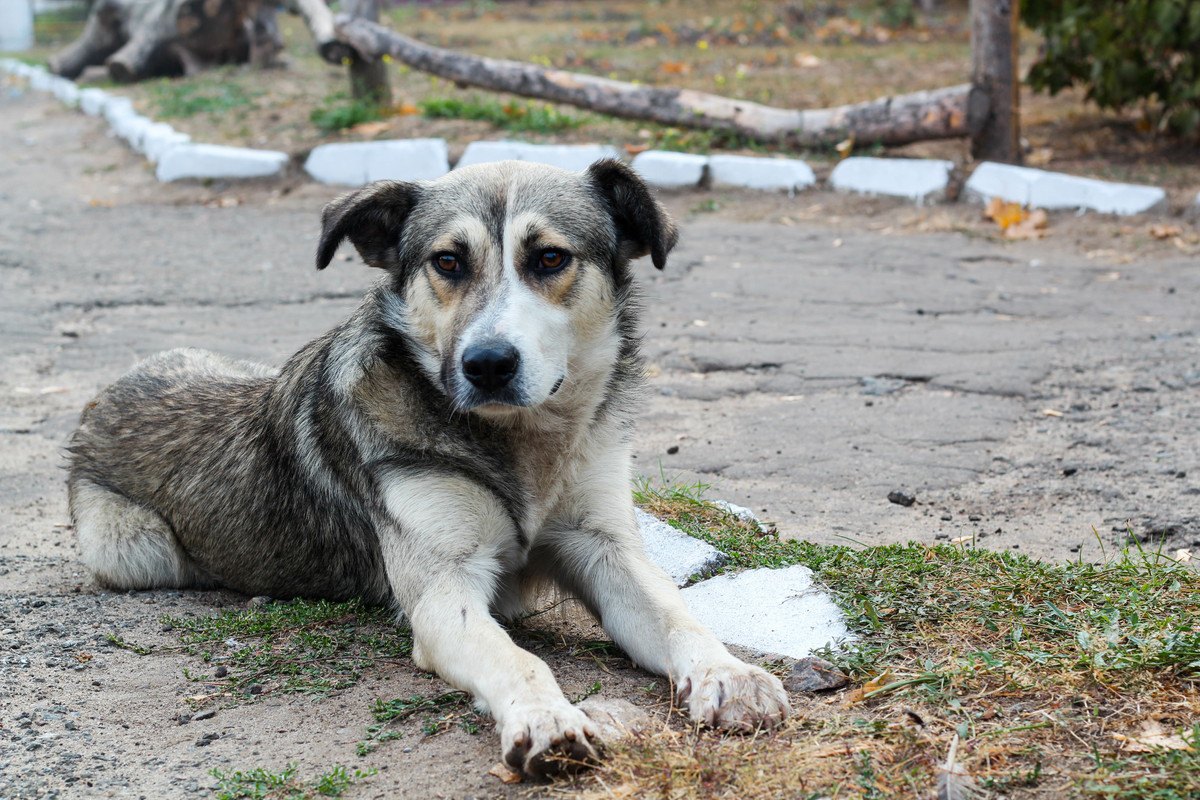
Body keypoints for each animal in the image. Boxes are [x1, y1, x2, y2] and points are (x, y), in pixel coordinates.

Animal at [70, 159, 792, 777]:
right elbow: (517, 659)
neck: (522, 445)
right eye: (448, 261)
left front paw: (732, 675)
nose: (488, 363)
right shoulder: (445, 592)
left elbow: (677, 615)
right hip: (133, 552)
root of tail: (110, 390)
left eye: (550, 258)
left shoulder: (604, 547)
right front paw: (546, 720)